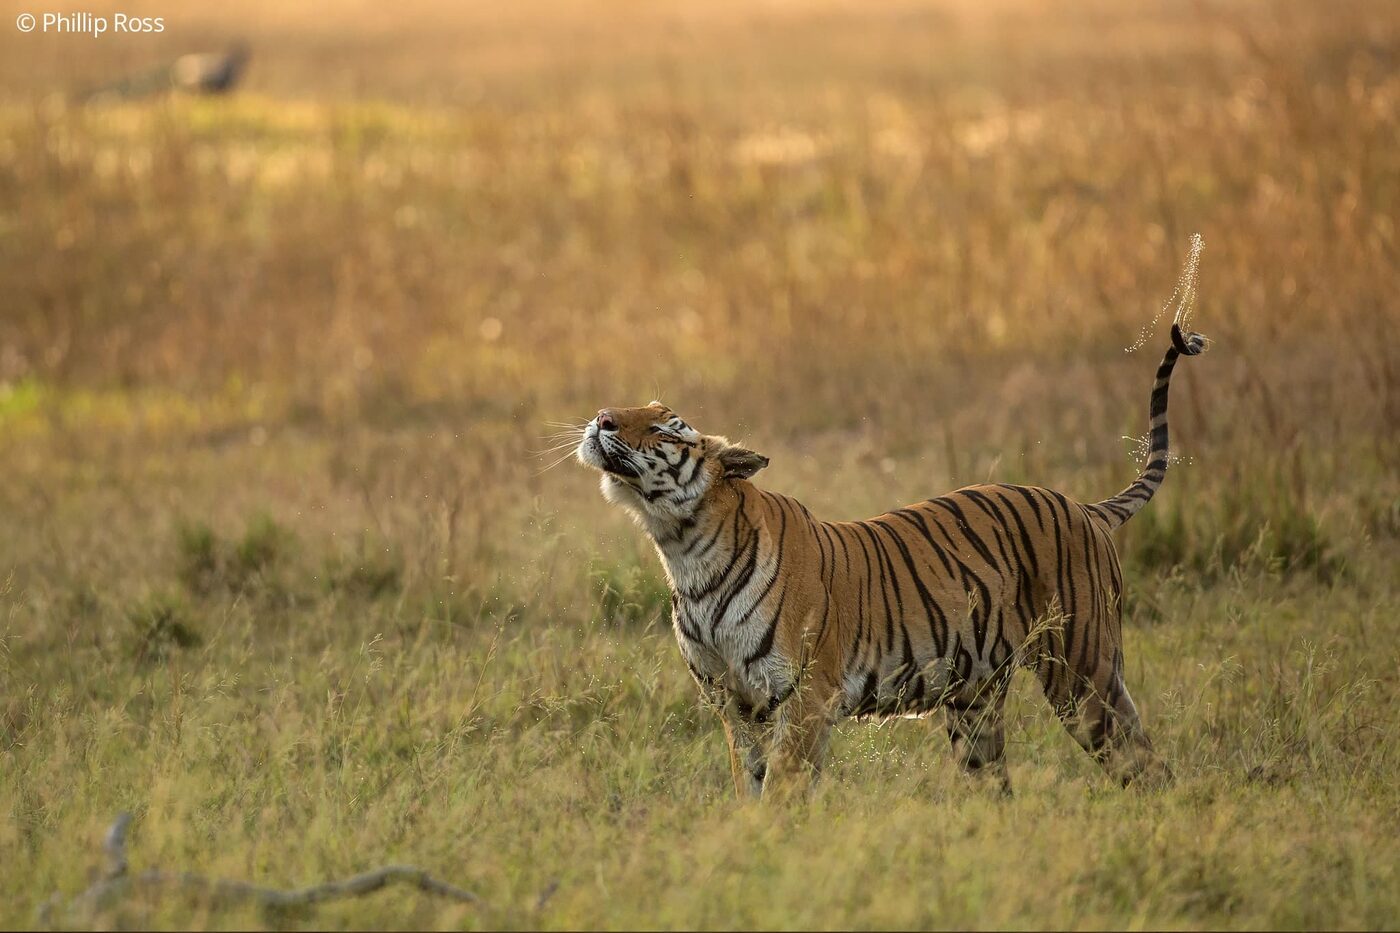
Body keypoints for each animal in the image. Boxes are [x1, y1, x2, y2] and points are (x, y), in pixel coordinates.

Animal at [574, 324, 1208, 799]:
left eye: (663, 427)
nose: (601, 417)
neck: (683, 550)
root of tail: (1083, 507)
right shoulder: (734, 705)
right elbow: (750, 785)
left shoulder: (804, 700)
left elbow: (780, 790)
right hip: (974, 702)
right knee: (997, 786)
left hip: (1081, 672)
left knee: (1145, 766)